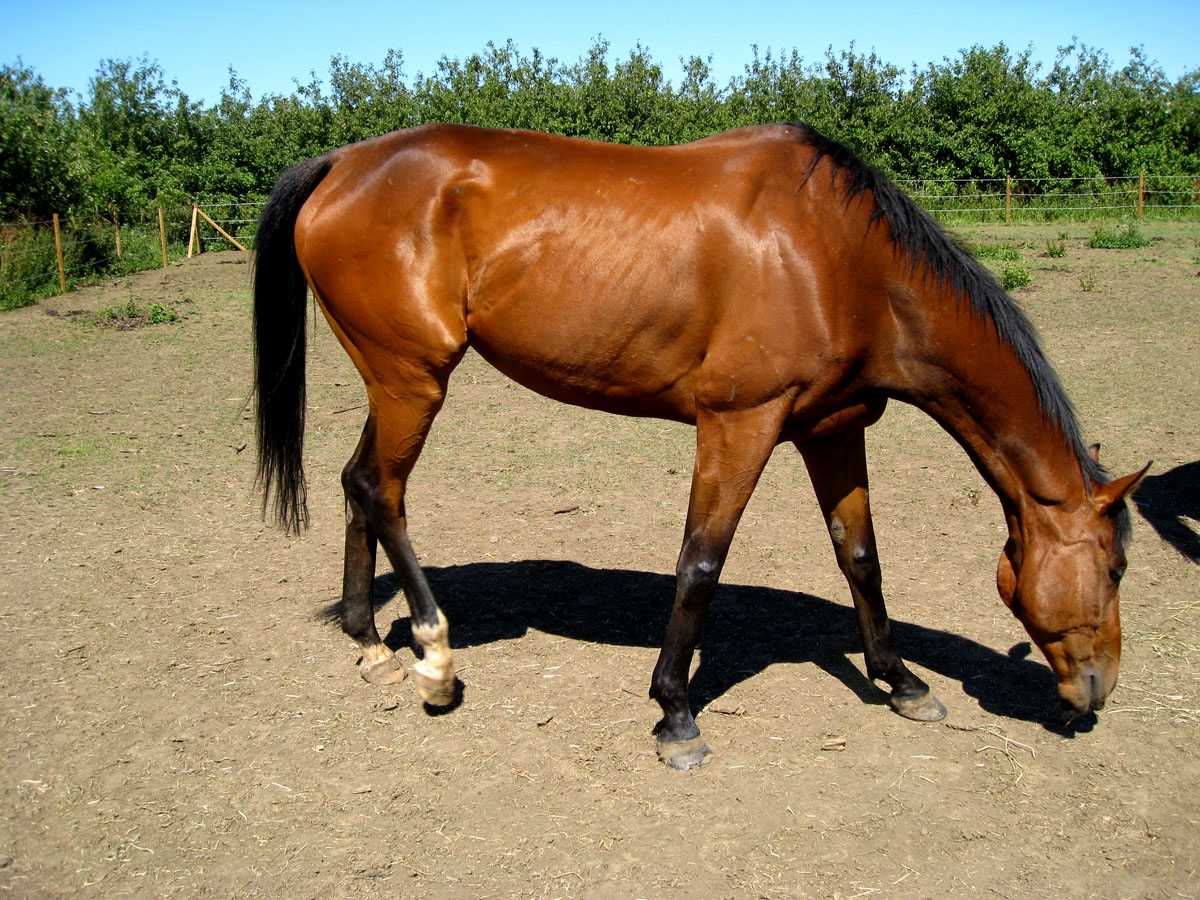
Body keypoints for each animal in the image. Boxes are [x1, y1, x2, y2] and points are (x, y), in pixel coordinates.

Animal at [252, 123, 1148, 770]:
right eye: (1114, 568)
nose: (1098, 690)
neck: (841, 257)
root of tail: (344, 163)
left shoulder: (832, 428)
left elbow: (860, 557)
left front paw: (901, 681)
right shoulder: (740, 422)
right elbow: (701, 562)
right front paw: (675, 713)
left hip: (392, 383)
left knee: (358, 482)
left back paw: (370, 641)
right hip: (414, 380)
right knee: (386, 492)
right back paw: (434, 662)